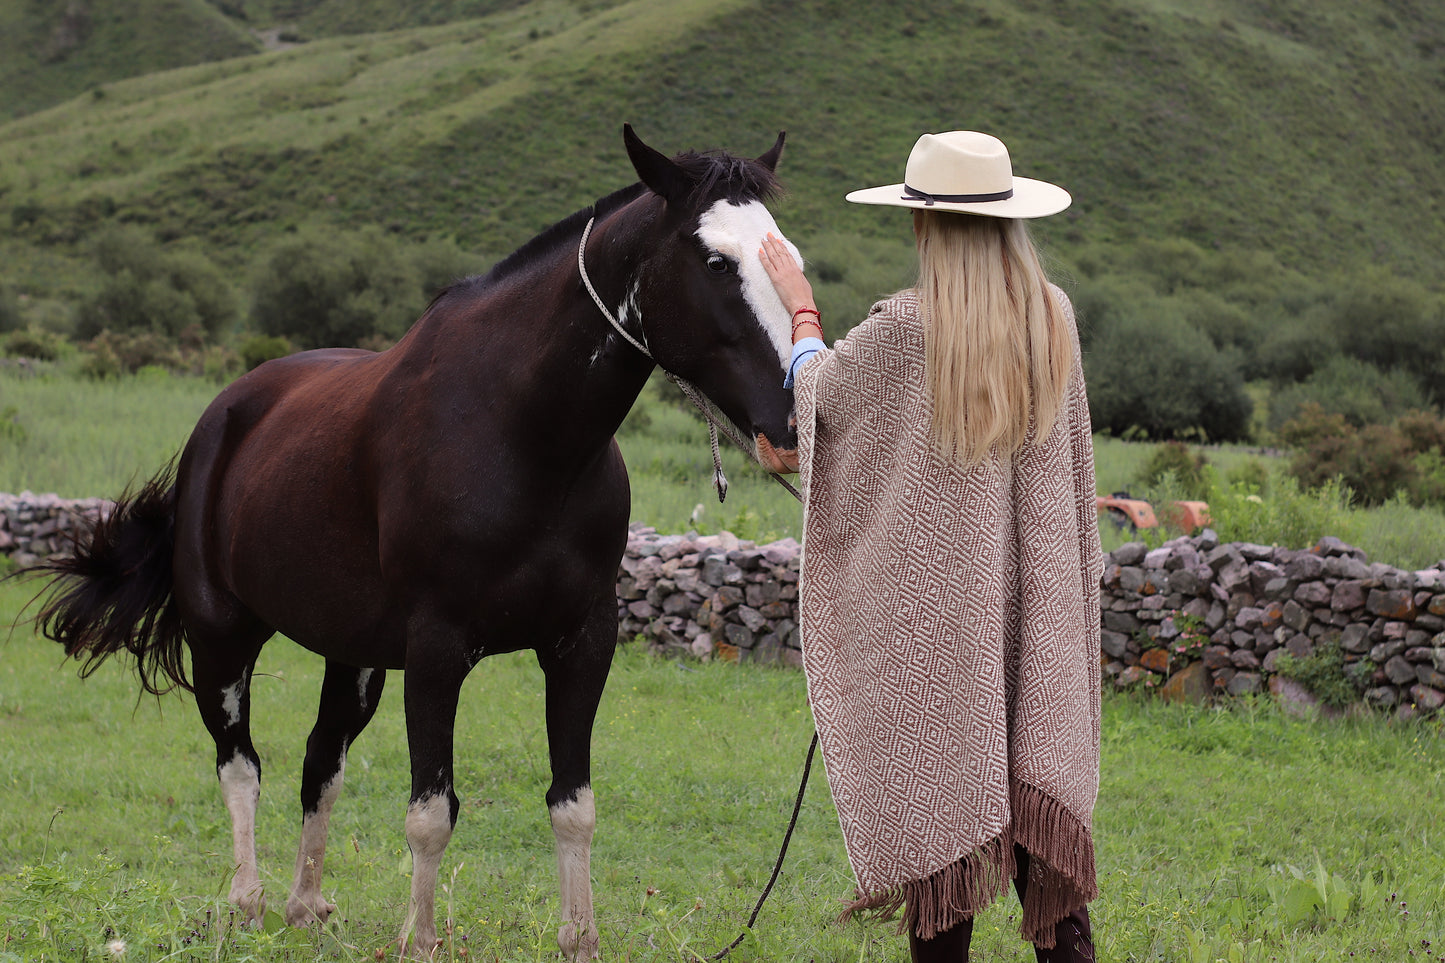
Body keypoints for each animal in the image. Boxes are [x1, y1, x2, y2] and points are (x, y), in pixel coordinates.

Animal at [28, 123, 803, 954]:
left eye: (785, 249)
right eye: (716, 261)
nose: (793, 421)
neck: (517, 432)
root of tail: (224, 415)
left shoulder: (581, 641)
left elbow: (573, 804)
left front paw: (578, 938)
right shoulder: (437, 647)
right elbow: (431, 811)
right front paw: (419, 939)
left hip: (354, 655)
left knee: (319, 761)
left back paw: (306, 903)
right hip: (223, 636)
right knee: (240, 765)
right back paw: (247, 902)